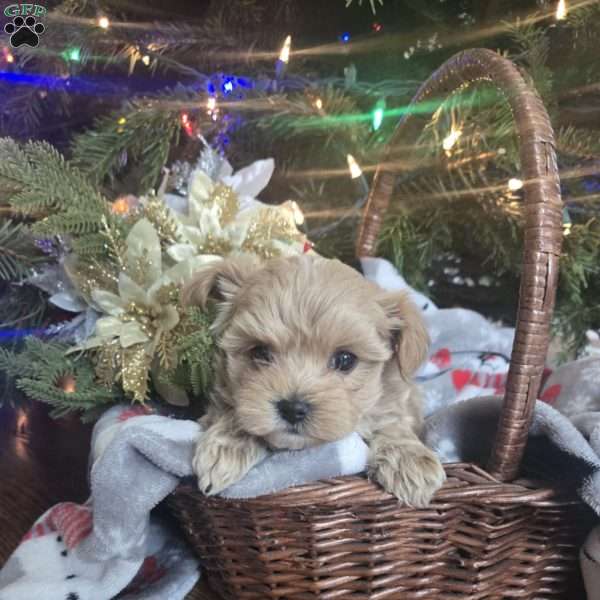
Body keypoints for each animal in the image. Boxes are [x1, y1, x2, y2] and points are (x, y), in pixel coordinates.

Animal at [183, 253, 446, 506]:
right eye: (260, 352)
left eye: (345, 359)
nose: (292, 409)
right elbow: (237, 414)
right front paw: (227, 449)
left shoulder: (394, 402)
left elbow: (392, 423)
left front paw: (410, 462)